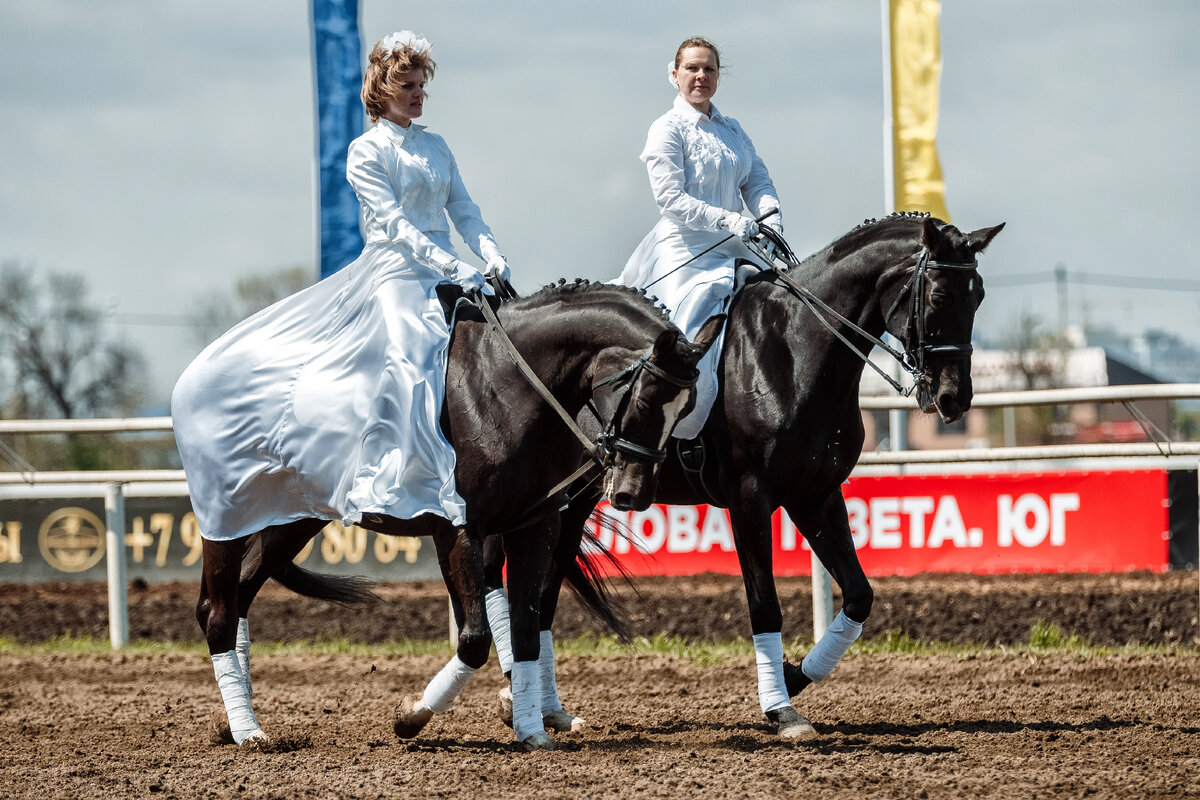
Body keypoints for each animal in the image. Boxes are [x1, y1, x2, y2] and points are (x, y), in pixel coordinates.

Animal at [195, 280, 720, 753]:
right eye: (647, 398)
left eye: (689, 407)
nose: (633, 493)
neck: (503, 389)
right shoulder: (459, 531)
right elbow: (474, 638)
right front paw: (411, 715)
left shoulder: (534, 527)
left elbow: (527, 629)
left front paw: (531, 730)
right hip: (227, 520)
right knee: (217, 613)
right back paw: (247, 732)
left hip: (291, 521)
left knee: (235, 599)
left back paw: (233, 723)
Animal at [492, 212, 1008, 738]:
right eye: (940, 296)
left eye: (979, 295)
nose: (953, 400)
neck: (797, 353)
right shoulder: (749, 499)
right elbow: (765, 604)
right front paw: (780, 708)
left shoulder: (816, 496)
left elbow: (859, 595)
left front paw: (794, 675)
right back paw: (522, 697)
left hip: (571, 504)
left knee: (545, 594)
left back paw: (545, 707)